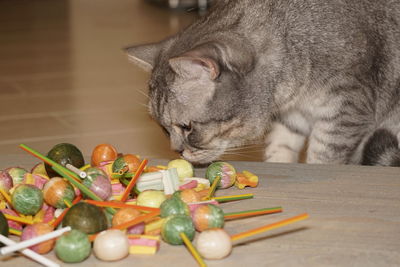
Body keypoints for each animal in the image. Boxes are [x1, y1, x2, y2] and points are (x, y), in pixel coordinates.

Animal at [125, 0, 400, 166]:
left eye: (187, 127)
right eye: (163, 129)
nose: (176, 151)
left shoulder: (346, 111)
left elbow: (322, 157)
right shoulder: (293, 117)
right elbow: (280, 148)